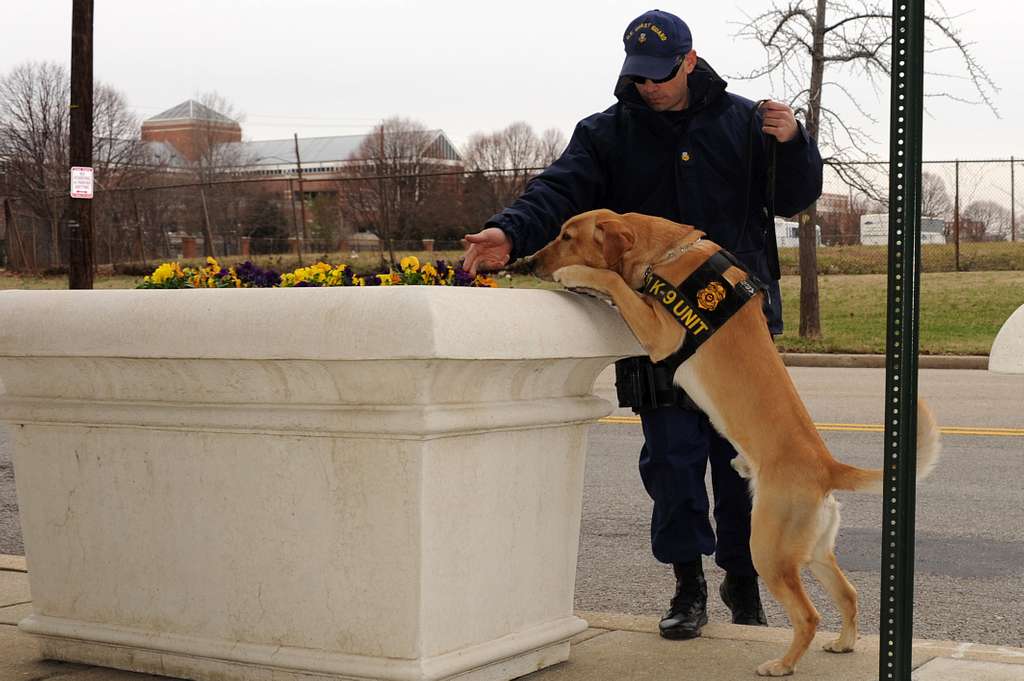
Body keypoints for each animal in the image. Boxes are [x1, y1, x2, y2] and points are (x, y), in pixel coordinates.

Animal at [516, 208, 937, 675]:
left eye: (567, 236)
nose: (527, 262)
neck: (668, 253)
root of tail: (827, 468)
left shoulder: (663, 333)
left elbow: (614, 283)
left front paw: (577, 275)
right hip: (812, 550)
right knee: (848, 593)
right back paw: (844, 643)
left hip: (768, 548)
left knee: (808, 614)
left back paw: (782, 664)